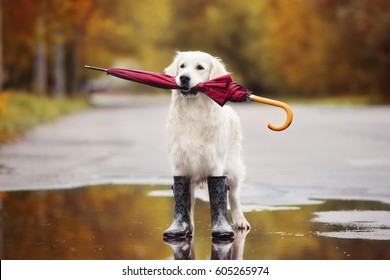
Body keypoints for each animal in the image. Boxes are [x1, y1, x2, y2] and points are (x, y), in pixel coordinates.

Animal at [162, 50, 248, 238]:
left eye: (200, 67)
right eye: (182, 66)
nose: (184, 78)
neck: (193, 112)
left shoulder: (216, 164)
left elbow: (220, 194)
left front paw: (221, 227)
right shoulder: (180, 163)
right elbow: (183, 199)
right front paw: (181, 227)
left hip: (233, 167)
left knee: (234, 195)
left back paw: (240, 221)